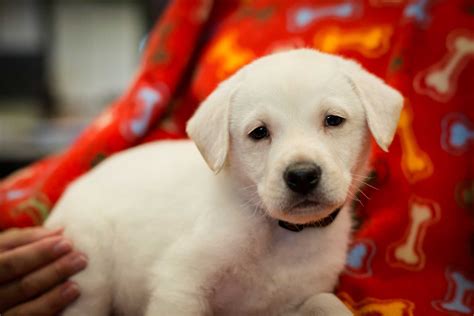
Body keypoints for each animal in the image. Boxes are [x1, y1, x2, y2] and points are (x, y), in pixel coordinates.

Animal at [44, 48, 402, 314]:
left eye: (333, 120)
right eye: (259, 132)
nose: (302, 176)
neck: (278, 233)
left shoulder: (295, 300)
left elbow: (325, 301)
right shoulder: (182, 282)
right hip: (87, 275)